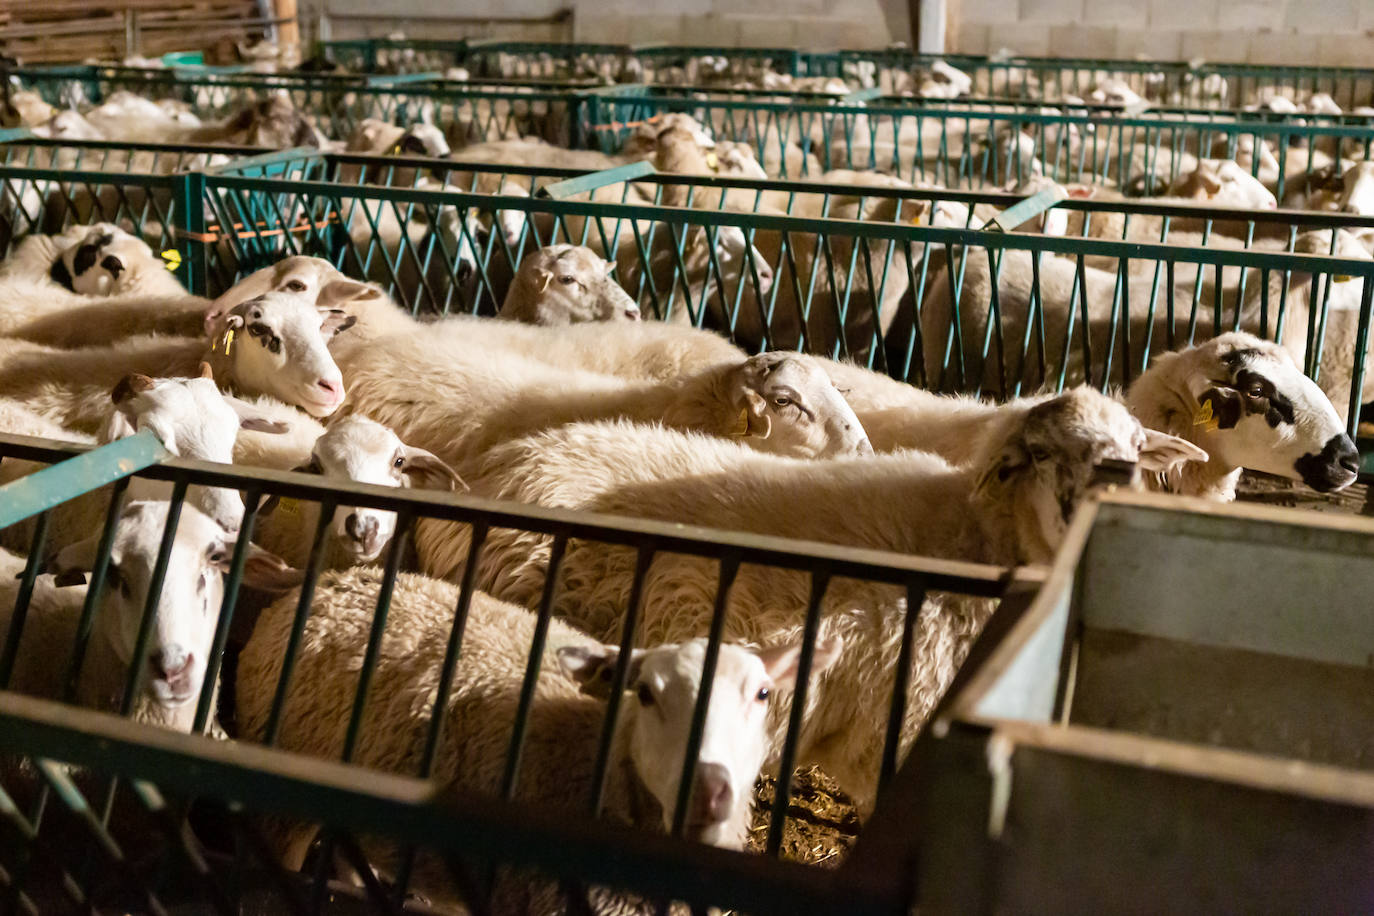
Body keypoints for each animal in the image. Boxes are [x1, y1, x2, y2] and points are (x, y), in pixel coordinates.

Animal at [406, 387, 1203, 807]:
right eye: (1039, 454)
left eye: (1136, 441)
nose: (1119, 471)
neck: (973, 538)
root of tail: (492, 471)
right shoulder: (897, 736)